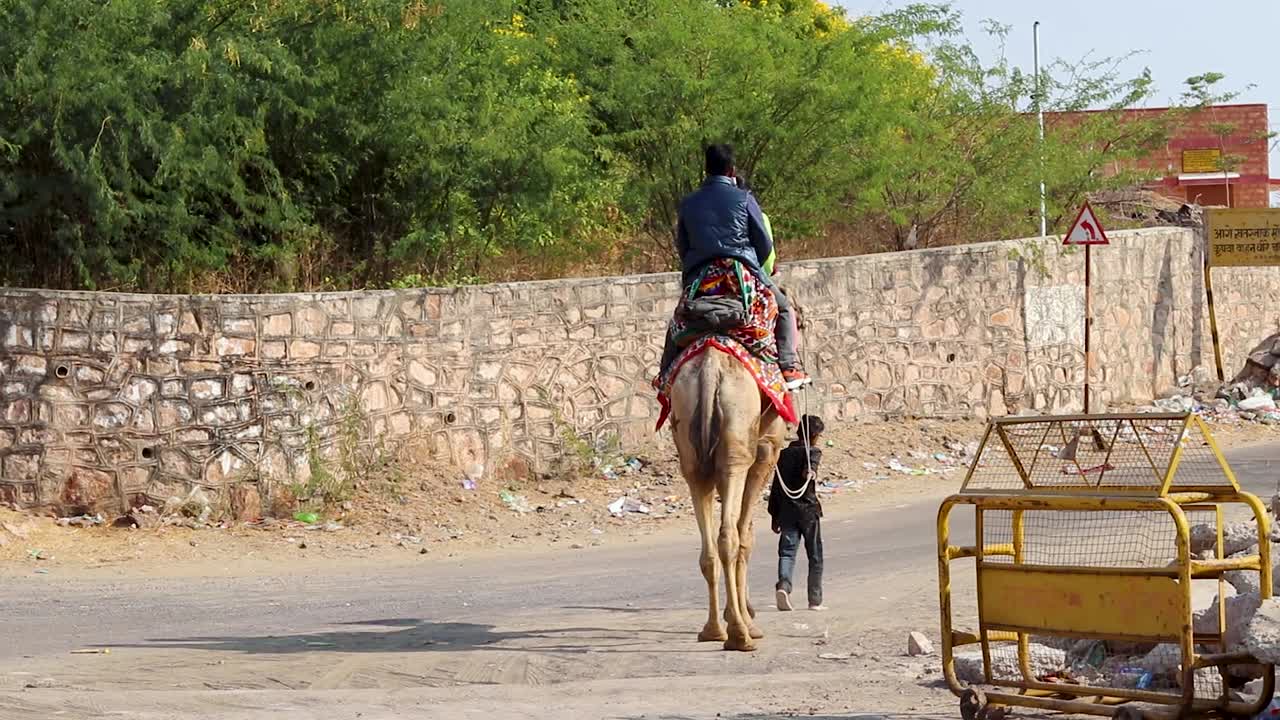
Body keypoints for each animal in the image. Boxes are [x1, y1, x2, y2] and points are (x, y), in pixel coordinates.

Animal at [668, 347, 787, 652]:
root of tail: (710, 368)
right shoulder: (765, 452)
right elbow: (747, 537)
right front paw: (749, 618)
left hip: (692, 455)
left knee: (709, 549)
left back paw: (712, 630)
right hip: (737, 447)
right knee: (729, 537)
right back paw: (740, 634)